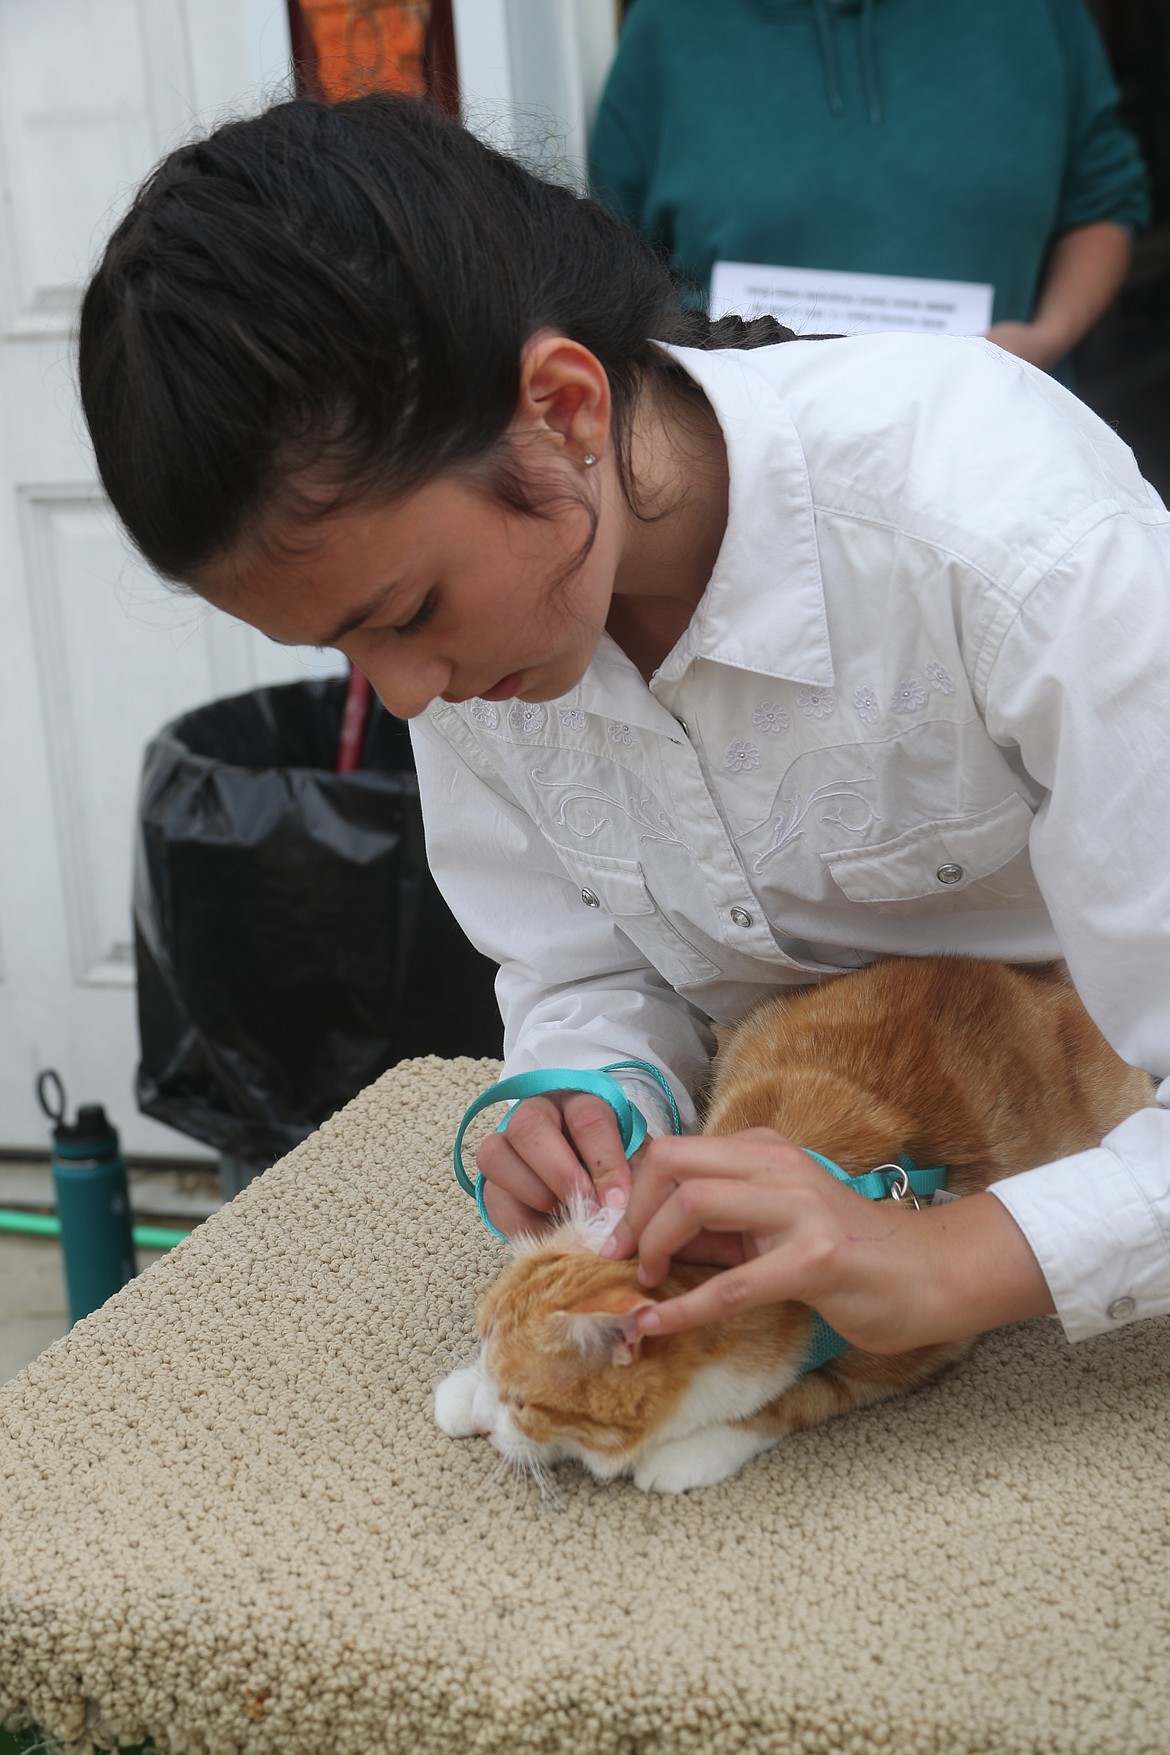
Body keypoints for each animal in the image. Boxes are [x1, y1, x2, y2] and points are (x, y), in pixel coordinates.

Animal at [436, 961, 1150, 1495]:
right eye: (485, 1354)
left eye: (523, 1403)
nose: (490, 1424)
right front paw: (464, 1391)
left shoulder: (907, 1339)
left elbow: (789, 1401)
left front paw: (687, 1453)